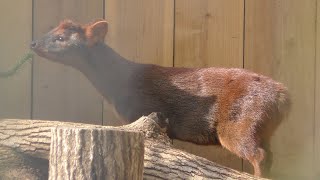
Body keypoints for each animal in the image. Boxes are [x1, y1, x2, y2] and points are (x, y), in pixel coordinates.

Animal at [31, 18, 290, 177]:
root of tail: (284, 97)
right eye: (51, 31)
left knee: (259, 155)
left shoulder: (141, 113)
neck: (120, 84)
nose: (33, 42)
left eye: (61, 38)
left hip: (239, 125)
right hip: (262, 129)